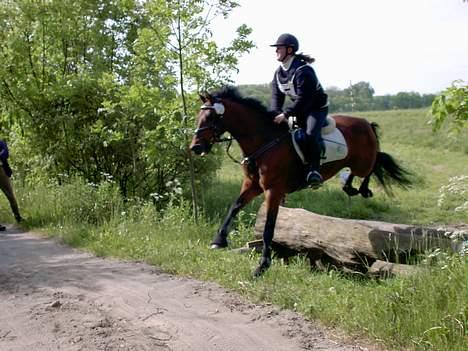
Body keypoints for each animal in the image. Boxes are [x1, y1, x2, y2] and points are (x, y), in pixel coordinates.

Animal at [189, 86, 410, 278]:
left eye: (210, 117)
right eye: (198, 117)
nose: (195, 147)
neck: (265, 141)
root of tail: (366, 123)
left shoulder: (273, 190)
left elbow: (269, 227)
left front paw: (262, 266)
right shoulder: (252, 185)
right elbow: (234, 206)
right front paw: (218, 241)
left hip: (363, 162)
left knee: (374, 164)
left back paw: (361, 189)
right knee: (369, 167)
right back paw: (350, 187)